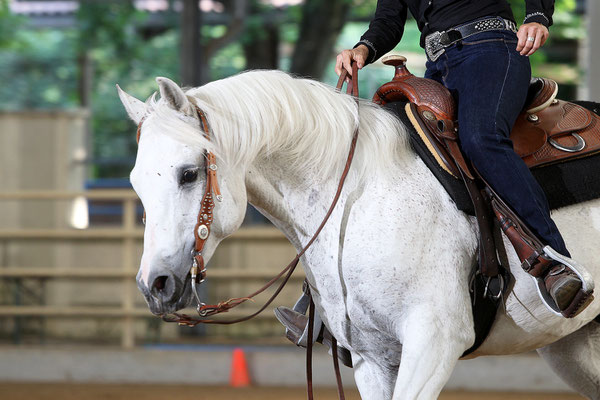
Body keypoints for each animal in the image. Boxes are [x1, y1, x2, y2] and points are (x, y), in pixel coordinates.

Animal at [117, 72, 600, 400]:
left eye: (188, 173)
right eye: (136, 182)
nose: (155, 284)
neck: (358, 193)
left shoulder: (434, 341)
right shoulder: (372, 358)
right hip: (576, 346)